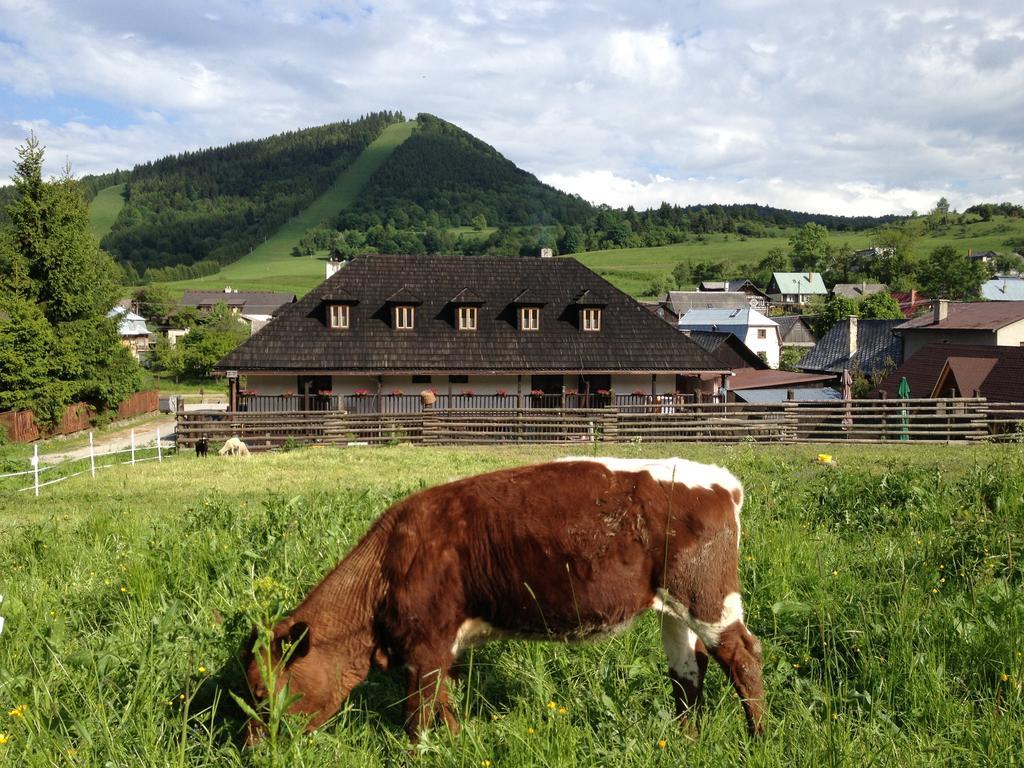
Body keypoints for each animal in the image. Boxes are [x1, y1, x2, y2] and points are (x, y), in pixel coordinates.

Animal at [243, 460, 765, 741]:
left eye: (263, 692)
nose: (253, 748)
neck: (390, 559)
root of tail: (721, 480)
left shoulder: (424, 646)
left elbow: (418, 717)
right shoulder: (436, 650)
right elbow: (443, 706)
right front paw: (456, 744)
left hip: (707, 598)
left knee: (742, 655)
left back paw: (757, 738)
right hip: (675, 608)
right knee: (687, 671)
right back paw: (685, 740)